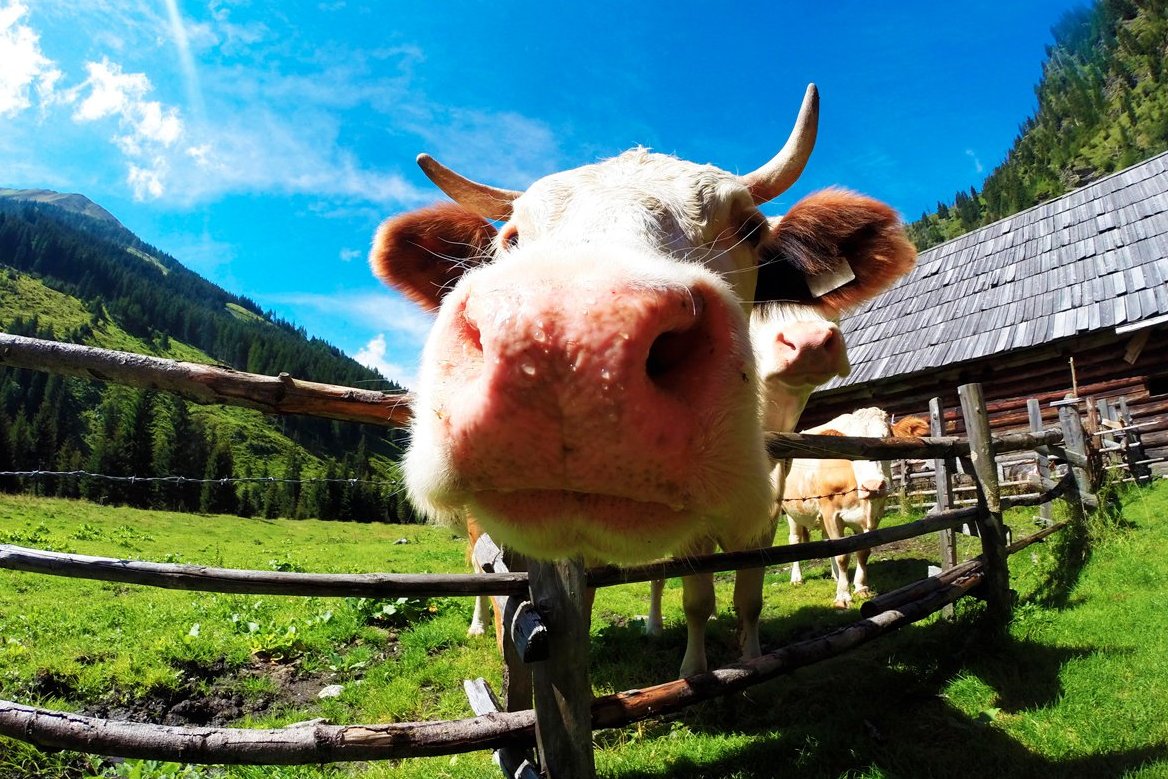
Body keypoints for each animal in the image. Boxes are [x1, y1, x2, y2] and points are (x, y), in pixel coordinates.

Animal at [782, 410, 930, 608]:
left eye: (887, 440)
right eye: (853, 448)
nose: (873, 486)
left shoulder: (874, 516)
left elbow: (863, 552)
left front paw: (861, 588)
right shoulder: (831, 514)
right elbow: (843, 556)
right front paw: (843, 596)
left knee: (827, 541)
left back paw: (836, 576)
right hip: (792, 513)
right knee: (795, 540)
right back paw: (797, 578)